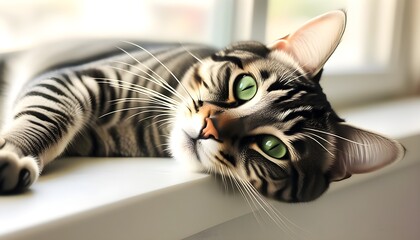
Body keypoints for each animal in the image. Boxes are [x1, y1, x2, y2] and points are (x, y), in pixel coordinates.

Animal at [0, 11, 404, 202]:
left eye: (273, 148)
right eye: (245, 87)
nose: (209, 128)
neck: (148, 127)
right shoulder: (79, 77)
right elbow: (45, 119)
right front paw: (14, 153)